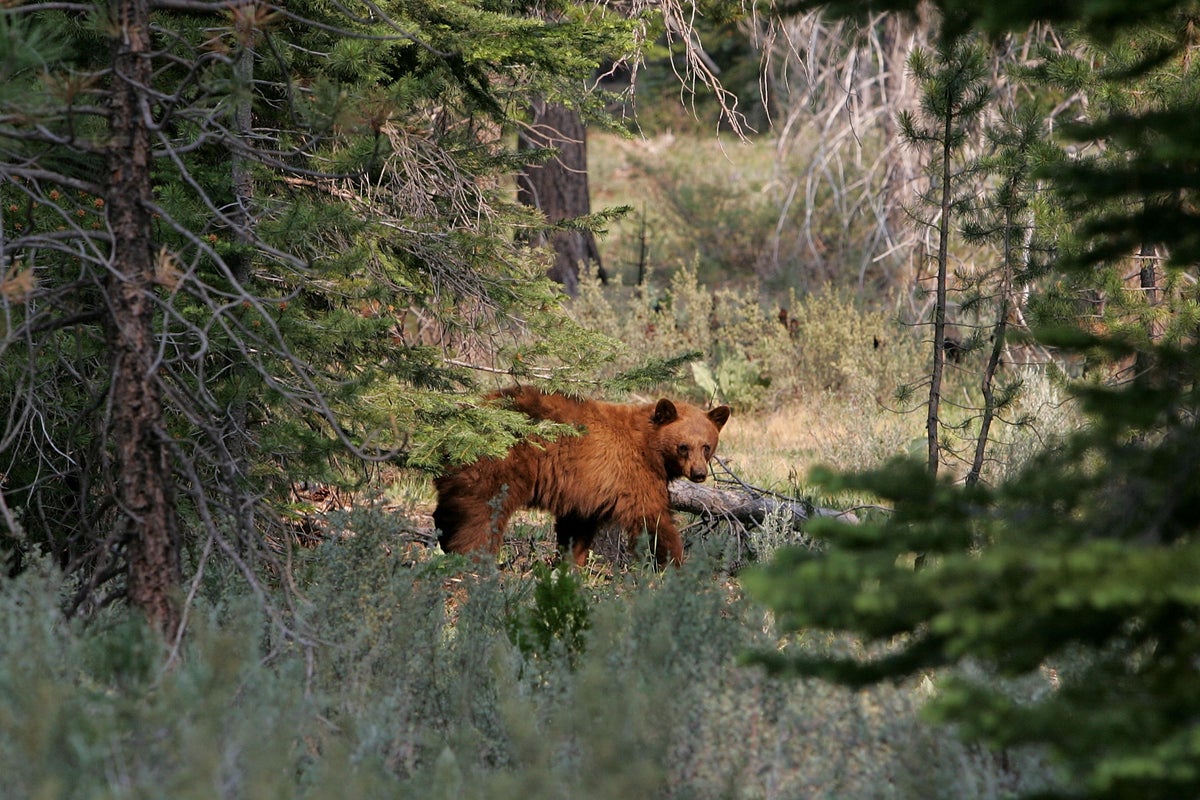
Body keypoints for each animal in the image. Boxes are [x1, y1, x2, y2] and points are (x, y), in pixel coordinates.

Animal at [433, 386, 731, 567]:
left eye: (706, 446)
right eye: (683, 446)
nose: (699, 474)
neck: (649, 446)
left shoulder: (587, 487)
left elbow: (577, 527)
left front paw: (569, 564)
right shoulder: (633, 474)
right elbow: (653, 519)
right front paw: (673, 563)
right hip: (499, 463)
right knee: (481, 514)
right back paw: (474, 558)